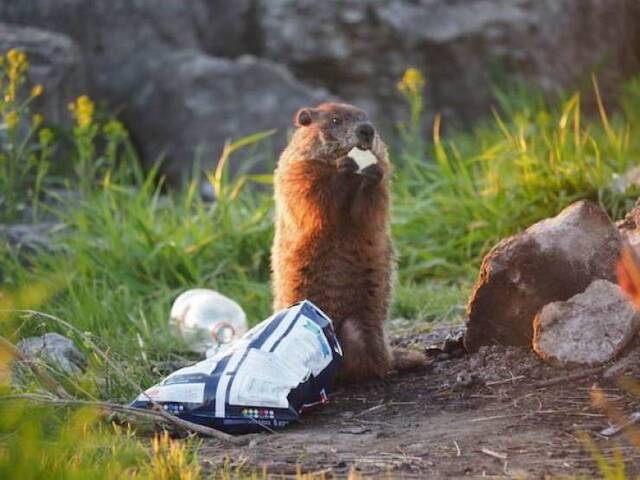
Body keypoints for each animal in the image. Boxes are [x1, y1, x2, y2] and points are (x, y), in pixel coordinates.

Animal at [271, 102, 427, 383]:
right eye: (335, 120)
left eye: (367, 117)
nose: (367, 130)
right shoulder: (299, 169)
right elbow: (312, 195)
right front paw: (342, 170)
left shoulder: (384, 175)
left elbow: (372, 206)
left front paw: (369, 174)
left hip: (361, 328)